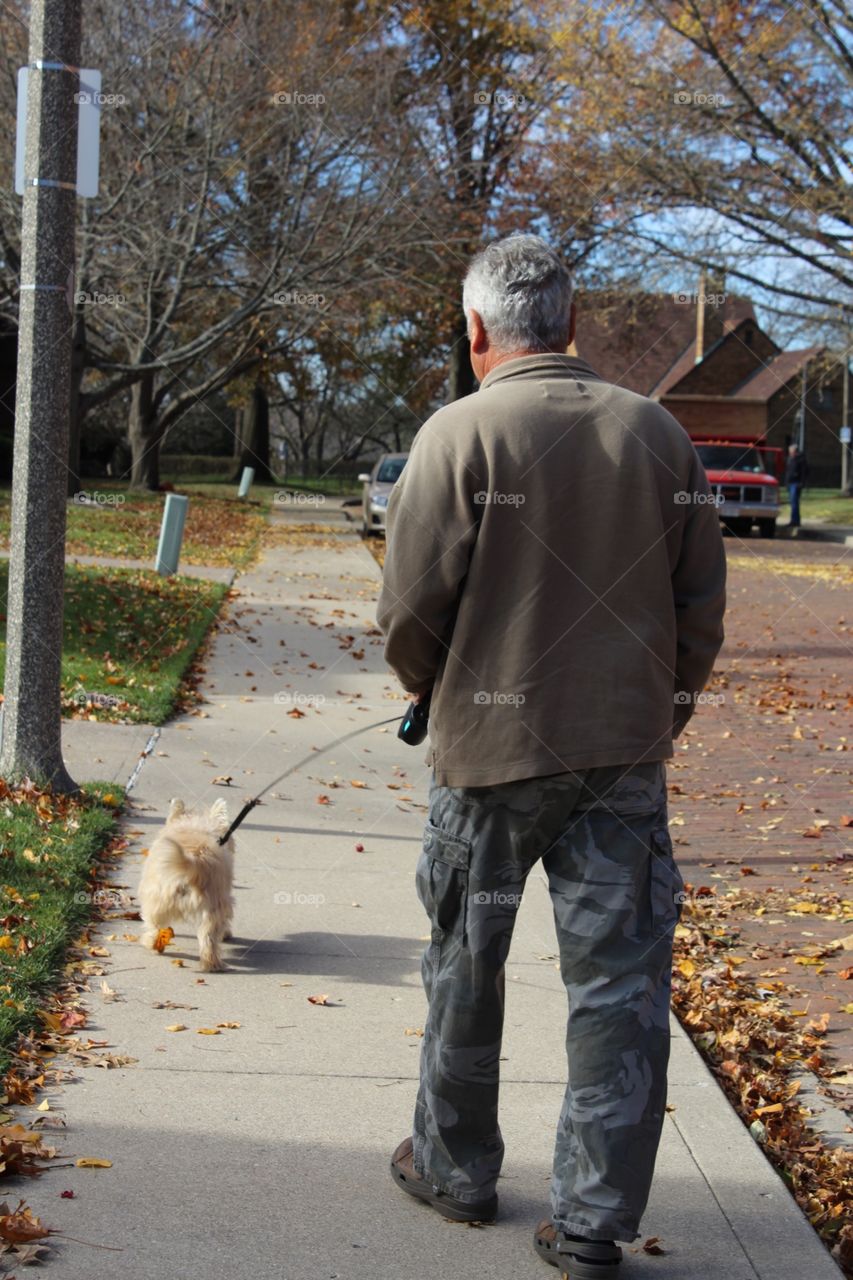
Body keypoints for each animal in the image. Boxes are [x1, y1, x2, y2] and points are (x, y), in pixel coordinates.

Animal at [138, 793, 234, 972]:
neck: (195, 826)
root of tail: (194, 861)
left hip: (157, 901)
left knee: (154, 927)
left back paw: (151, 944)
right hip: (213, 910)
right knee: (208, 938)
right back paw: (212, 964)